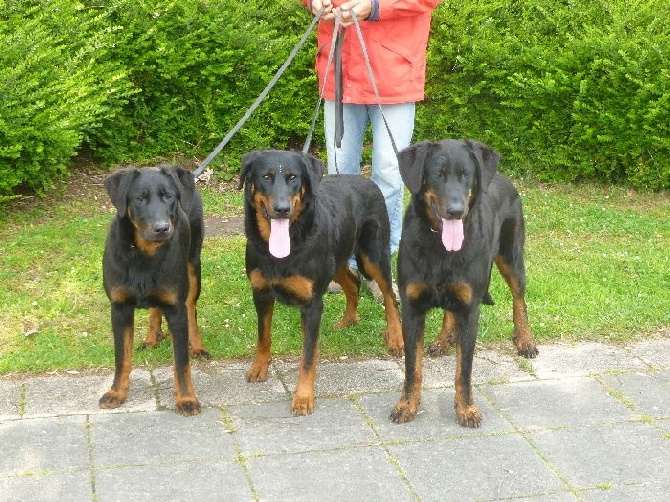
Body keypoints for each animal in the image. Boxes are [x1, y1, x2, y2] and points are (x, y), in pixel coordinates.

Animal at [100, 165, 207, 416]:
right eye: (139, 198)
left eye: (169, 196)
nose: (162, 228)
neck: (143, 254)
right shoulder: (119, 308)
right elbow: (121, 358)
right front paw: (116, 392)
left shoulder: (176, 309)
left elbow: (181, 363)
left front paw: (186, 398)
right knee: (154, 309)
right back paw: (151, 337)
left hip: (193, 267)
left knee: (191, 308)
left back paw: (197, 346)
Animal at [239, 150, 402, 416]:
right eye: (265, 177)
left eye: (293, 177)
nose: (282, 209)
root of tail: (365, 179)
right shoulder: (260, 293)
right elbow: (263, 336)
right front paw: (259, 367)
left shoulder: (312, 304)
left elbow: (307, 357)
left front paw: (303, 397)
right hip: (337, 259)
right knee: (352, 282)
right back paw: (348, 320)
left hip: (373, 255)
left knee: (389, 296)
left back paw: (396, 337)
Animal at [388, 140, 540, 428]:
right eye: (438, 174)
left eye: (465, 174)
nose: (456, 211)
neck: (439, 246)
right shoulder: (411, 308)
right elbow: (413, 367)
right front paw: (407, 404)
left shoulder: (470, 310)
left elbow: (464, 370)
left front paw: (466, 408)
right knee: (450, 309)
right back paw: (442, 340)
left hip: (511, 257)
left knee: (519, 298)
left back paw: (525, 339)